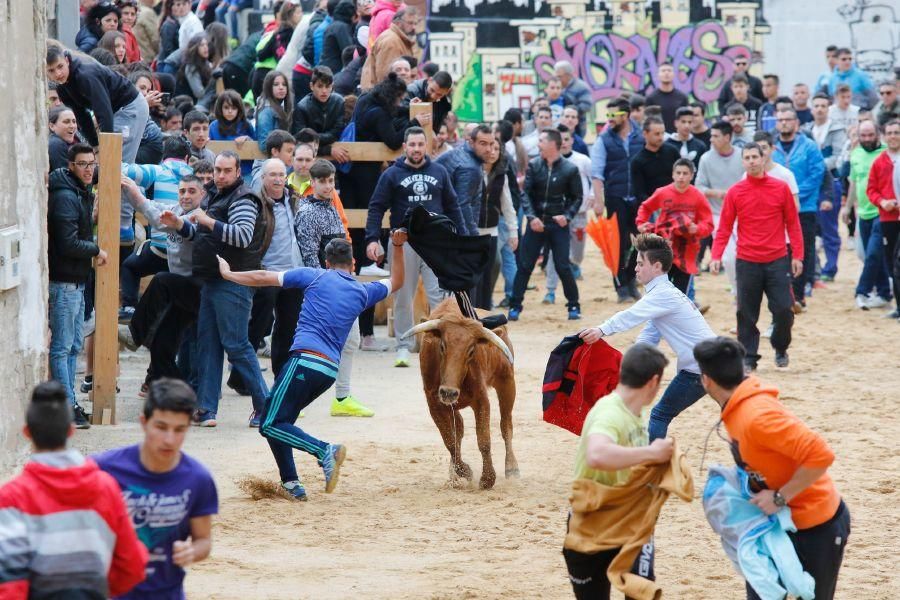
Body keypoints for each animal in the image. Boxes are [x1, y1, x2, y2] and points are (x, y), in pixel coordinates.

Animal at [402, 298, 520, 490]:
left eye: (471, 350)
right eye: (442, 346)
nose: (449, 392)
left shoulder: (481, 400)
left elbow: (483, 440)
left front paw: (487, 479)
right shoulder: (435, 403)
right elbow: (450, 440)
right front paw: (464, 471)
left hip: (507, 382)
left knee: (506, 424)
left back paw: (512, 468)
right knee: (459, 429)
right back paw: (453, 474)